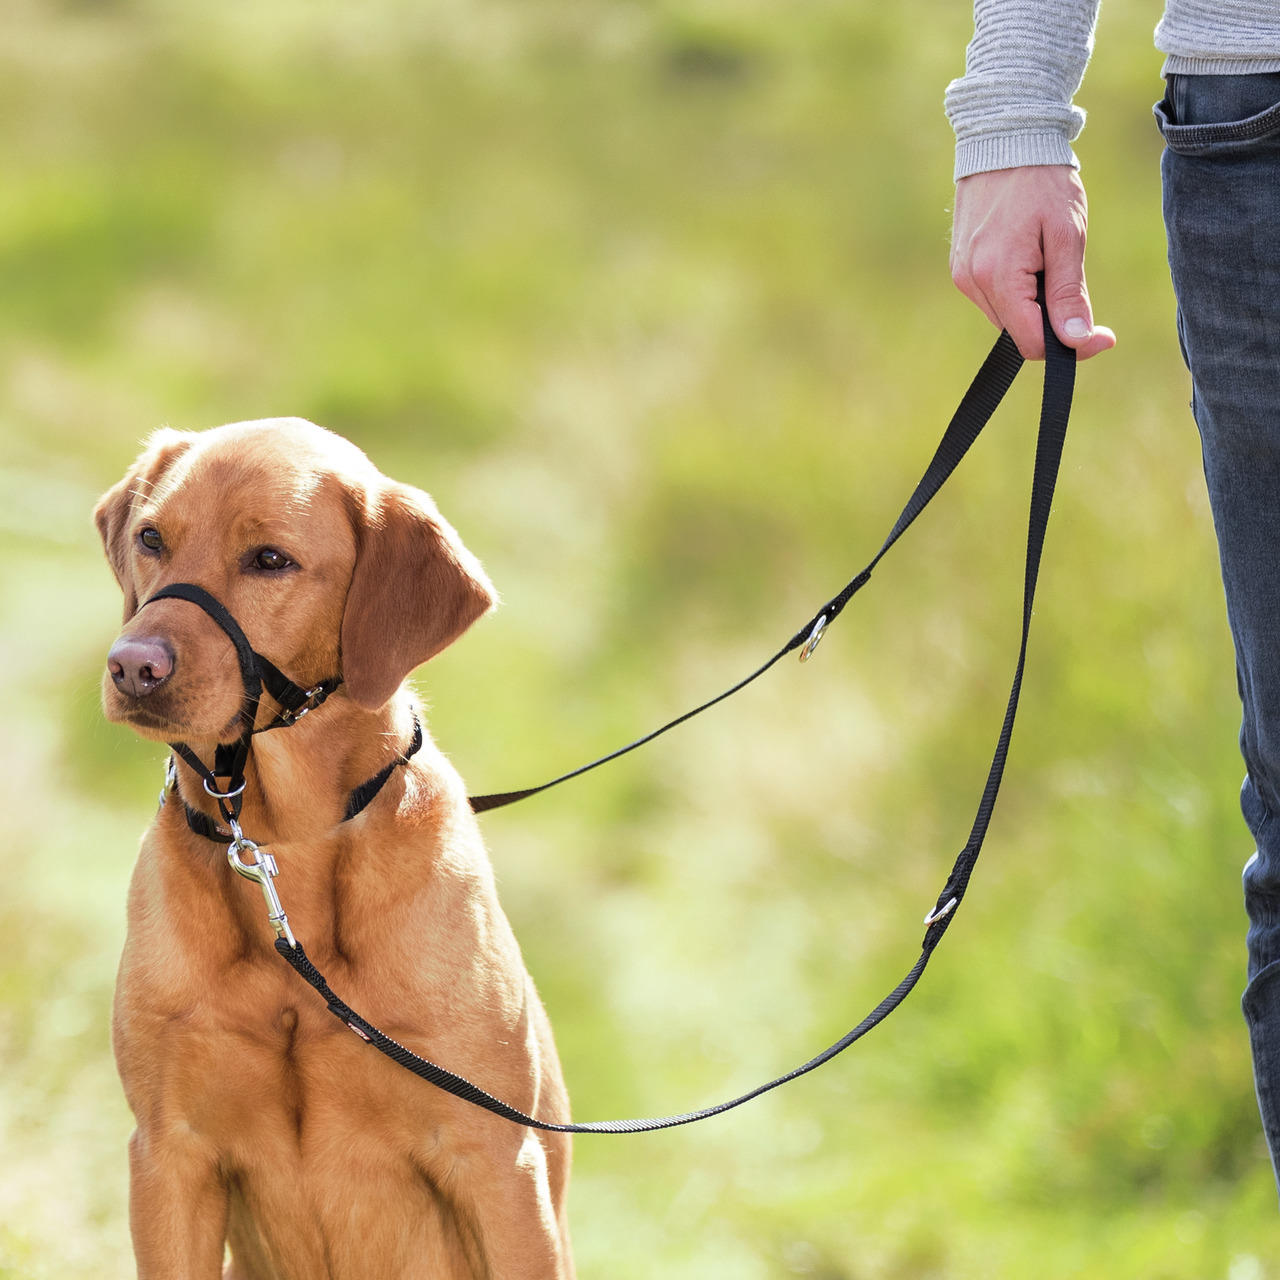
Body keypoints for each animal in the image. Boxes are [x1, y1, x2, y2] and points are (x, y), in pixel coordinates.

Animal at [97, 419, 578, 1280]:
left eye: (270, 560)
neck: (281, 840)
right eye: (152, 539)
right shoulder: (168, 1157)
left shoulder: (495, 1161)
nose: (131, 667)